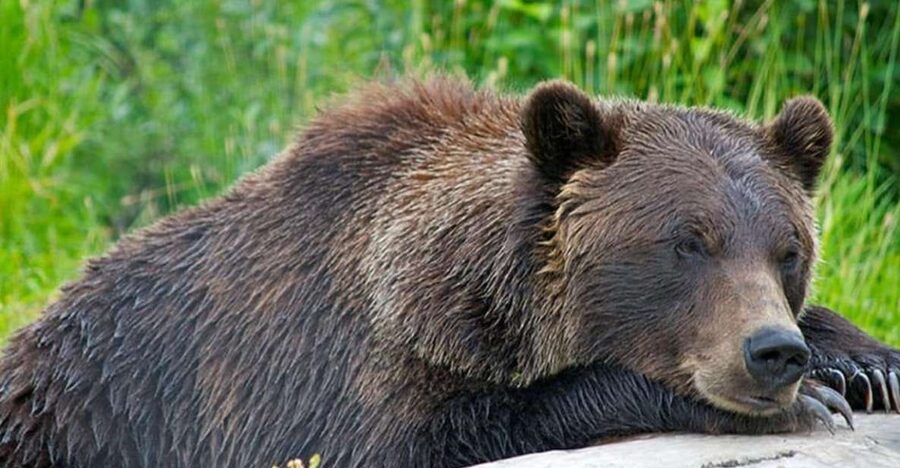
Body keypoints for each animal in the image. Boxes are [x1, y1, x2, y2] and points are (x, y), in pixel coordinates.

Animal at [0, 76, 898, 468]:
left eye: (788, 250)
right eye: (687, 242)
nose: (772, 353)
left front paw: (863, 365)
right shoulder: (328, 377)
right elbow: (434, 432)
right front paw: (811, 400)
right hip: (79, 413)